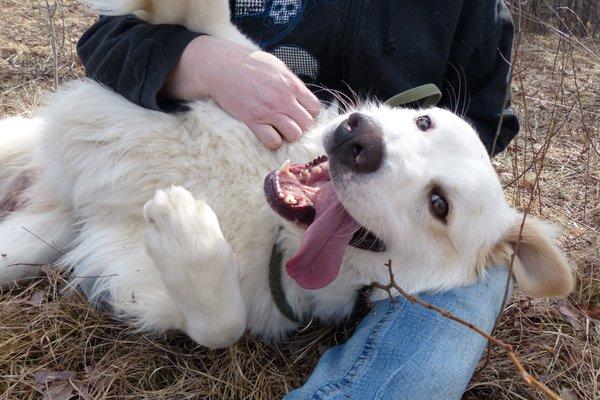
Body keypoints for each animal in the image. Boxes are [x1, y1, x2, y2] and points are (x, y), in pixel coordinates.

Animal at [0, 0, 572, 348]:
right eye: (424, 120)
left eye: (439, 206)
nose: (360, 140)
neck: (267, 217)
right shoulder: (251, 70)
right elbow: (212, 28)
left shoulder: (147, 289)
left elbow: (221, 325)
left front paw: (185, 229)